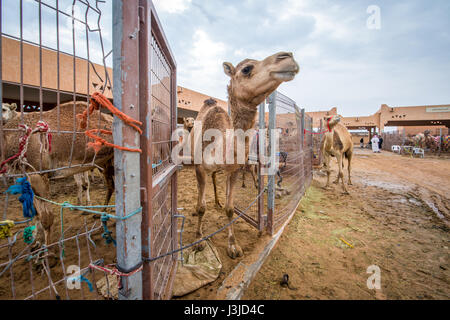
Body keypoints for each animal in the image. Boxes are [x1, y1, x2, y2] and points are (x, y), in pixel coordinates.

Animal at [1, 101, 116, 249]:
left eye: (4, 109)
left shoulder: (38, 173)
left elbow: (46, 218)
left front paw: (48, 251)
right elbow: (37, 213)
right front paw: (35, 243)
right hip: (106, 162)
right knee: (111, 186)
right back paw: (102, 216)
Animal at [186, 51, 298, 258]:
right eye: (246, 69)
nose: (287, 57)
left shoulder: (233, 170)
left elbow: (231, 209)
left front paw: (233, 245)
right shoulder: (200, 167)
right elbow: (202, 207)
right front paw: (198, 240)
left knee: (215, 178)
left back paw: (217, 202)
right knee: (200, 191)